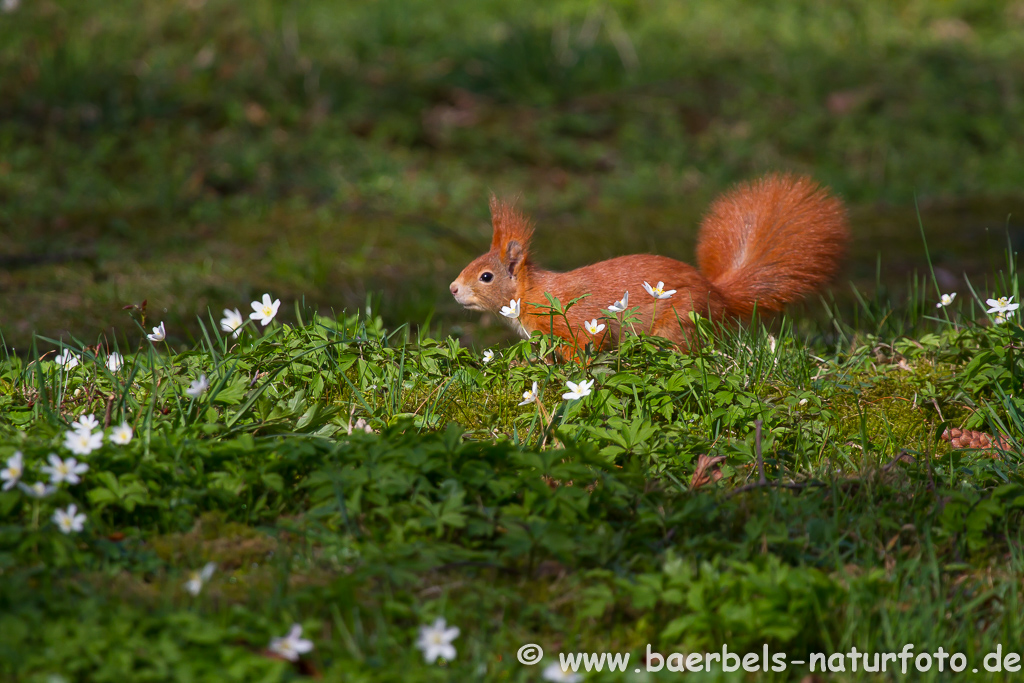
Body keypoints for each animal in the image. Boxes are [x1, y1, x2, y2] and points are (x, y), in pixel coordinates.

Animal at [448, 172, 847, 352]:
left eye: (485, 276)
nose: (452, 289)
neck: (532, 292)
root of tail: (717, 294)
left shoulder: (573, 326)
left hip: (679, 324)